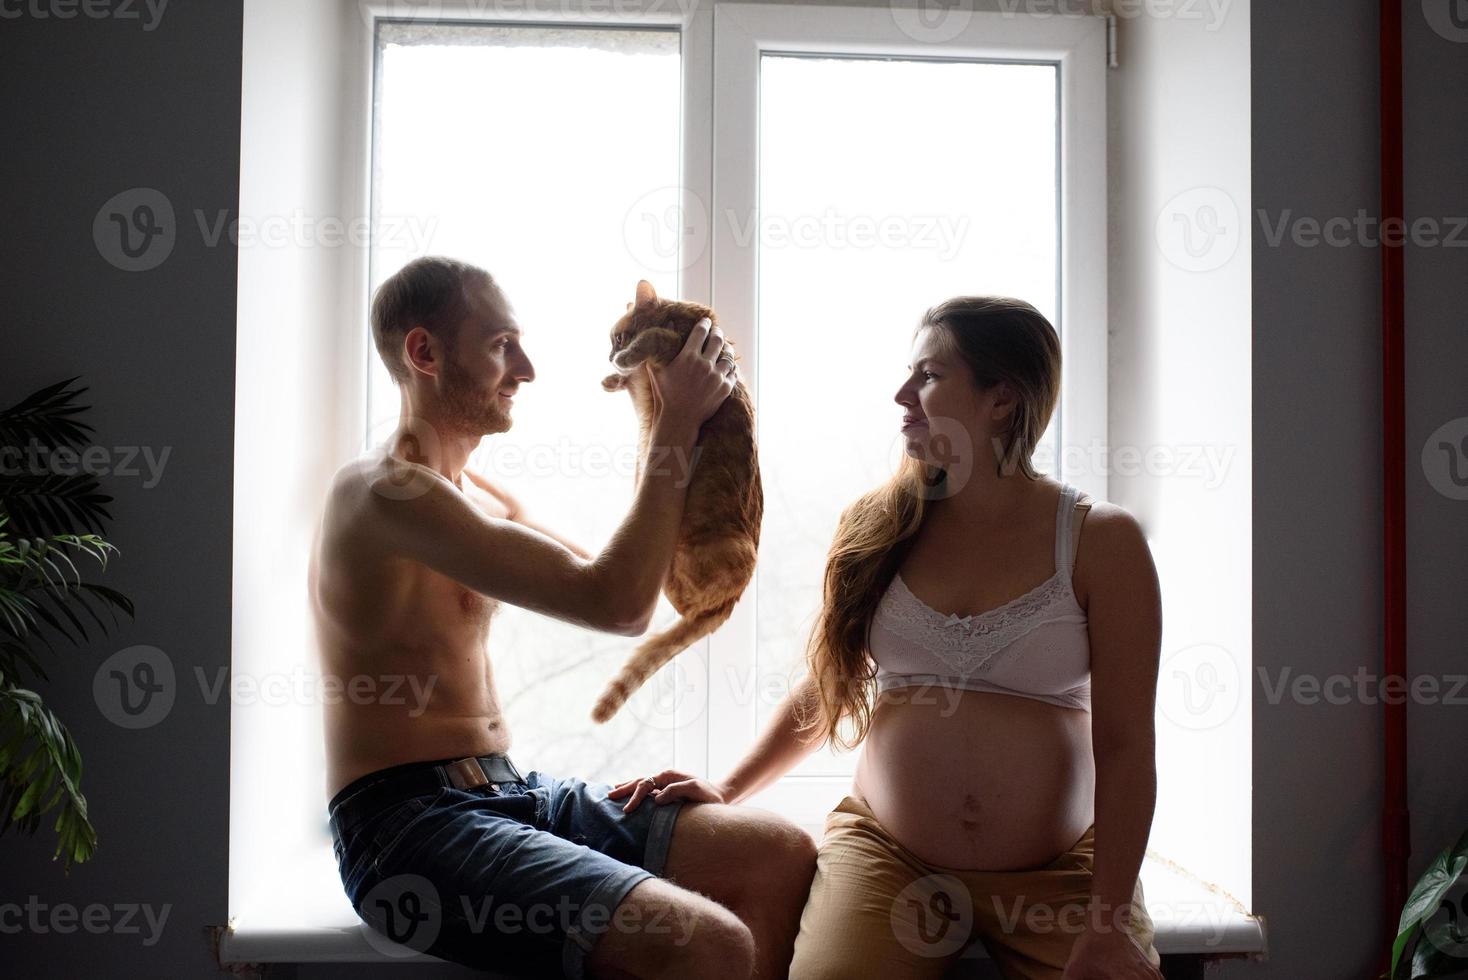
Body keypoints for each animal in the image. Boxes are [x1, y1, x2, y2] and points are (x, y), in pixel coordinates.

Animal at [590, 278, 763, 724]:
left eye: (618, 337)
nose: (610, 355)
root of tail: (732, 602)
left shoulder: (674, 348)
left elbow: (653, 337)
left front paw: (624, 362)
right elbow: (634, 375)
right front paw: (614, 378)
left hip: (725, 551)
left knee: (684, 604)